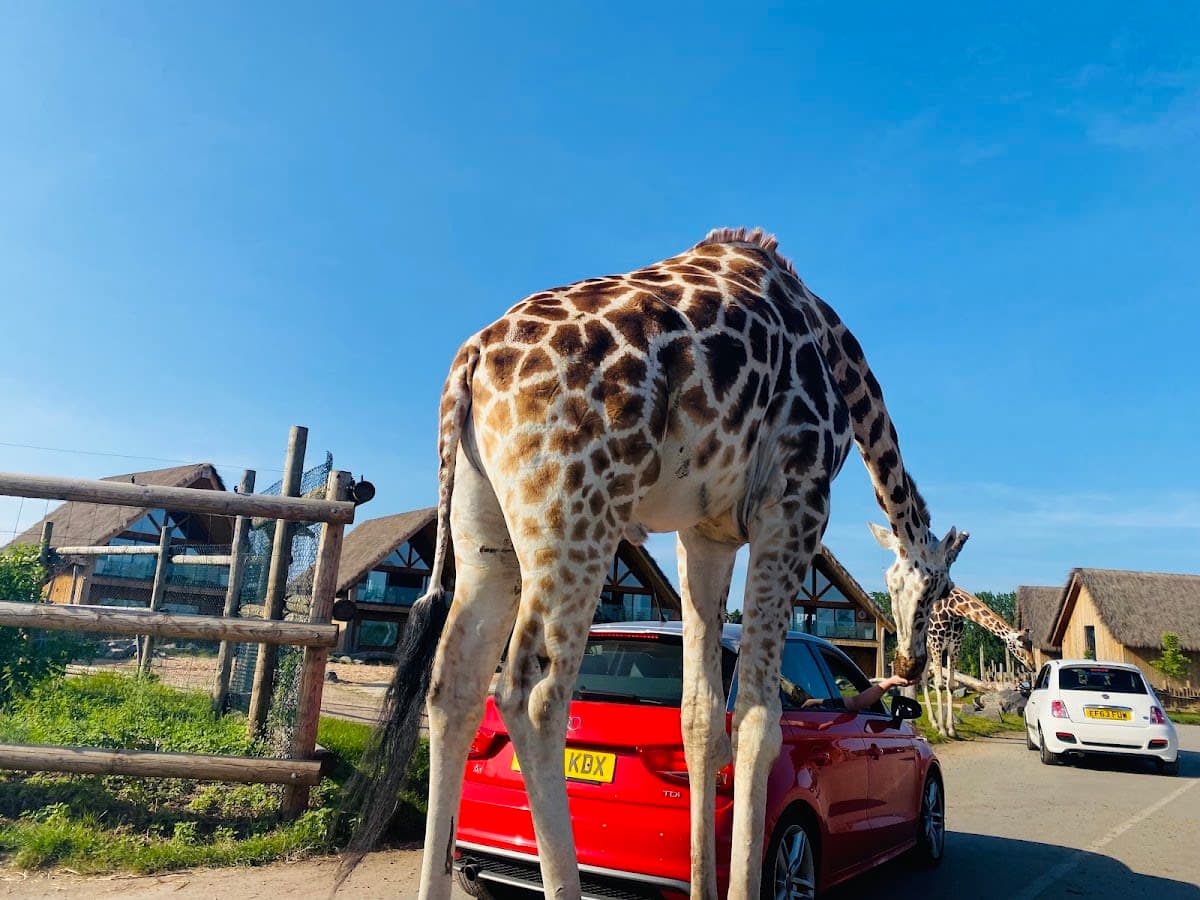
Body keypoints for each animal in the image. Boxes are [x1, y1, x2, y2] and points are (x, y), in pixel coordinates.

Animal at [337, 227, 965, 900]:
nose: (910, 663)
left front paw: (702, 887)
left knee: (453, 686)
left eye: (916, 588)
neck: (840, 358)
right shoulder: (795, 499)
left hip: (486, 531)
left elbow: (701, 719)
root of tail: (470, 362)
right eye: (934, 591)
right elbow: (759, 719)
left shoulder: (706, 533)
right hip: (575, 512)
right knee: (532, 695)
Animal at [924, 586, 1035, 738]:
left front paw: (951, 729)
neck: (953, 608)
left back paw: (933, 722)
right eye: (1021, 645)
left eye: (1031, 644)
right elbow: (939, 684)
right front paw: (942, 730)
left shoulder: (954, 644)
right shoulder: (937, 642)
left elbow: (950, 685)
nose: (1033, 665)